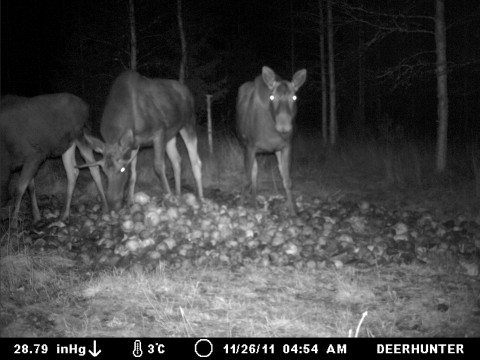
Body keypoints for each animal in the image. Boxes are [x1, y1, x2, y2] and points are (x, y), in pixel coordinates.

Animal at [0, 94, 108, 226]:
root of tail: (85, 106)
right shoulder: (24, 163)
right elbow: (30, 187)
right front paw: (36, 217)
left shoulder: (35, 155)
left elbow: (20, 189)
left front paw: (14, 224)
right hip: (67, 144)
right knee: (72, 172)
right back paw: (64, 214)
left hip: (81, 134)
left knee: (93, 167)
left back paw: (105, 207)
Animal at [82, 70, 202, 211]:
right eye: (104, 172)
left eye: (122, 169)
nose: (113, 204)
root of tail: (188, 92)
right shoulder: (134, 145)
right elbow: (134, 174)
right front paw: (130, 202)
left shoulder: (159, 132)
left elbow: (158, 167)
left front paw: (168, 199)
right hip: (171, 135)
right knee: (176, 160)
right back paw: (178, 194)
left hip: (189, 123)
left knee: (195, 161)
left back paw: (200, 198)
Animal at [236, 66, 308, 215]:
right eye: (272, 96)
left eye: (294, 97)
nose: (284, 125)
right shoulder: (249, 147)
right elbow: (247, 180)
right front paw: (240, 207)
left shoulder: (286, 146)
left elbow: (287, 180)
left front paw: (293, 211)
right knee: (254, 174)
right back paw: (253, 205)